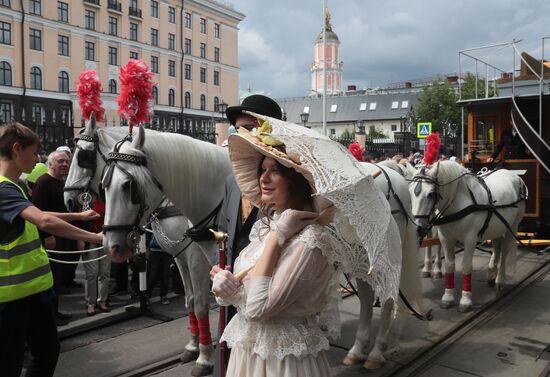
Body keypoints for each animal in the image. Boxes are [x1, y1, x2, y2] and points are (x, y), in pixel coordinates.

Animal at [64, 116, 218, 374]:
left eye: (83, 156)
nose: (68, 200)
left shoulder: (198, 258)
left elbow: (201, 305)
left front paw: (205, 358)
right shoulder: (181, 257)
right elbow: (190, 300)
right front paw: (192, 347)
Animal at [412, 162, 528, 312]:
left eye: (431, 194)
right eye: (409, 191)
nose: (418, 228)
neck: (459, 202)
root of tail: (514, 176)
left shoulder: (470, 239)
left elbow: (466, 266)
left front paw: (465, 300)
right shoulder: (446, 239)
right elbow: (449, 266)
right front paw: (448, 297)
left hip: (511, 226)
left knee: (504, 251)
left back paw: (500, 280)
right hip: (498, 226)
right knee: (497, 246)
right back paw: (492, 273)